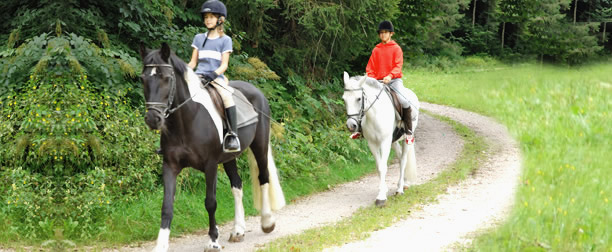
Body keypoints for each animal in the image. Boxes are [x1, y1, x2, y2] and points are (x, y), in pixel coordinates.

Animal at [140, 43, 286, 252]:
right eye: (143, 78)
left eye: (166, 78)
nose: (153, 119)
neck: (188, 119)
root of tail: (256, 91)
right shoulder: (170, 166)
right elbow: (166, 206)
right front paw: (160, 246)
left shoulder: (210, 165)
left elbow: (210, 202)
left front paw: (213, 241)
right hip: (230, 157)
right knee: (237, 185)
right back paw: (238, 231)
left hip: (259, 146)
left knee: (263, 177)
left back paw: (267, 222)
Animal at [342, 72, 418, 206]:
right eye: (344, 99)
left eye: (359, 98)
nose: (351, 125)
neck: (374, 114)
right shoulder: (372, 143)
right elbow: (378, 167)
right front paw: (384, 190)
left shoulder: (384, 142)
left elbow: (383, 166)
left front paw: (381, 197)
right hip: (394, 141)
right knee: (400, 158)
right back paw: (404, 183)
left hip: (406, 139)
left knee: (403, 160)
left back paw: (400, 189)